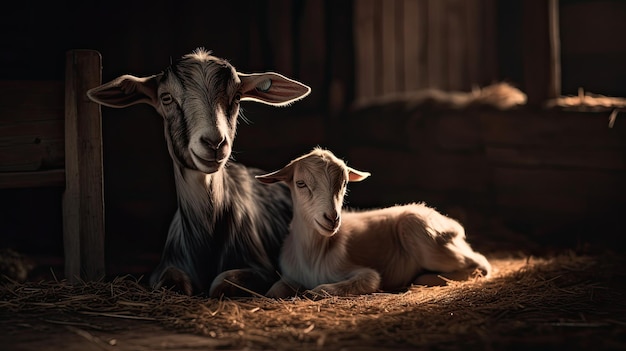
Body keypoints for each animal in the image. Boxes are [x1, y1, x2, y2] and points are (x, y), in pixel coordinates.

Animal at [86, 47, 310, 296]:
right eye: (166, 98)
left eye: (237, 97)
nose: (214, 143)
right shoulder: (164, 268)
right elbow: (171, 281)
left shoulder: (262, 269)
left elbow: (221, 283)